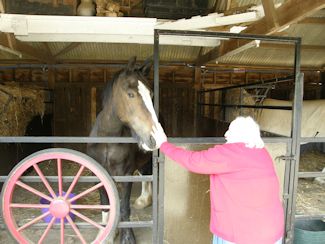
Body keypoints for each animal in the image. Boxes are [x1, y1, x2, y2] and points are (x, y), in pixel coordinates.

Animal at [87, 56, 159, 243]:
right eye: (130, 94)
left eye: (151, 94)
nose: (156, 137)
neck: (108, 139)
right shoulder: (99, 173)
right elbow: (106, 203)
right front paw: (106, 234)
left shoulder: (126, 174)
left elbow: (125, 206)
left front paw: (127, 237)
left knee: (146, 175)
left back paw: (143, 200)